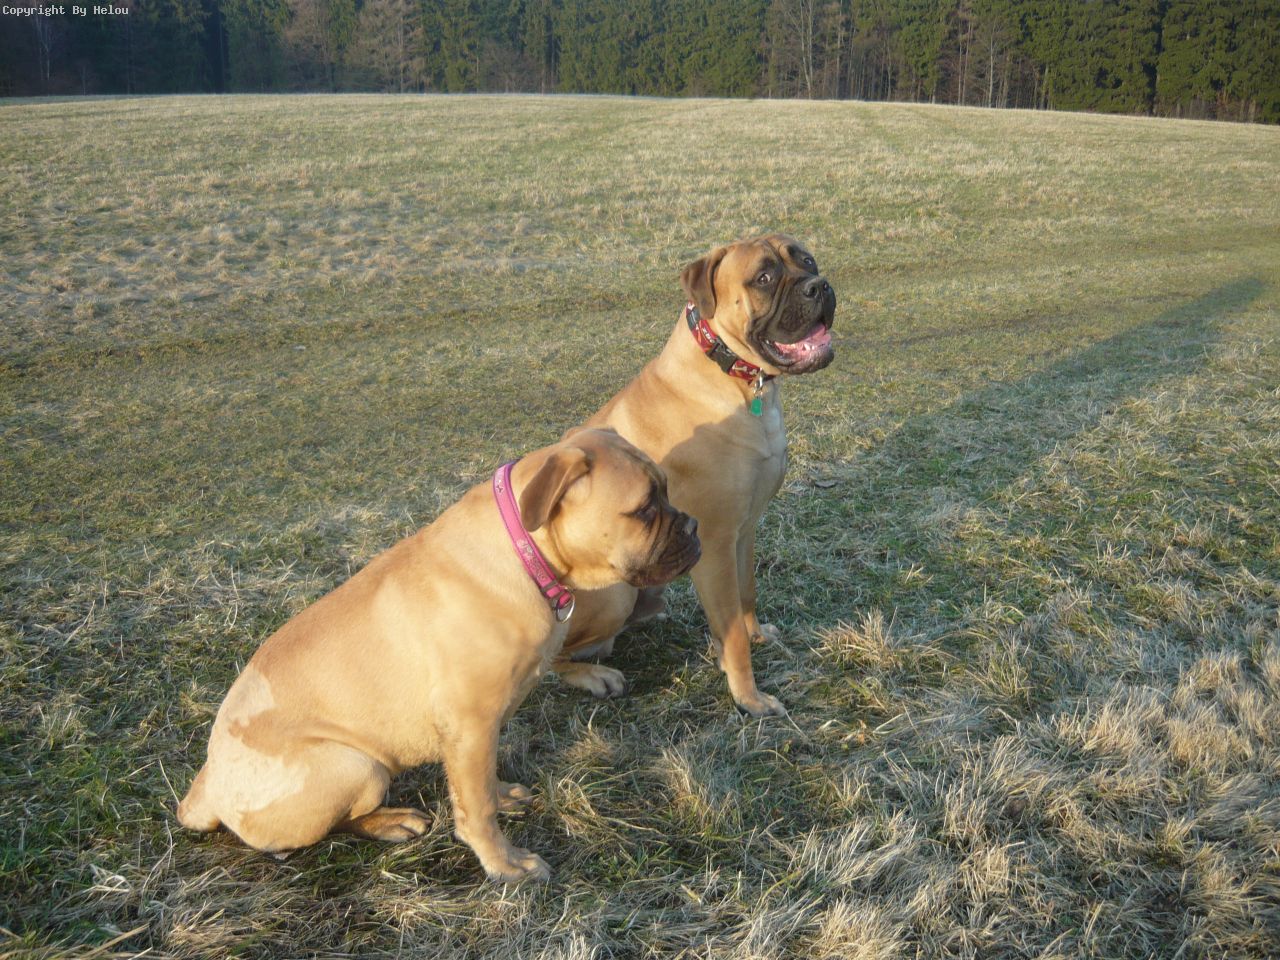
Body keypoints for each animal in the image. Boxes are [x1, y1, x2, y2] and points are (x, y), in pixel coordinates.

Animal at [177, 427, 700, 883]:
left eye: (667, 491)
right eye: (645, 508)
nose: (694, 524)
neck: (525, 552)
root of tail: (204, 791)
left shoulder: (477, 732)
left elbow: (478, 785)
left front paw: (500, 796)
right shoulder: (470, 722)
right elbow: (478, 809)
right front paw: (504, 863)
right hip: (355, 764)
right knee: (329, 827)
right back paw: (390, 821)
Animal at [554, 235, 835, 717]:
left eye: (808, 260)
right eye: (764, 277)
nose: (820, 286)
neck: (741, 382)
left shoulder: (744, 531)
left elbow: (746, 595)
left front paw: (756, 637)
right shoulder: (716, 543)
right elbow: (732, 631)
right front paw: (749, 698)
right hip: (611, 594)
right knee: (552, 658)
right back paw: (594, 675)